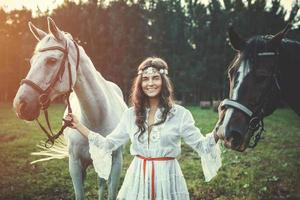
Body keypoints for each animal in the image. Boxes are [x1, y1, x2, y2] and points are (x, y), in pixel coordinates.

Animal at [12, 17, 126, 200]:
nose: (20, 105)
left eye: (51, 60)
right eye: (31, 62)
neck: (96, 118)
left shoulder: (116, 163)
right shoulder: (75, 166)